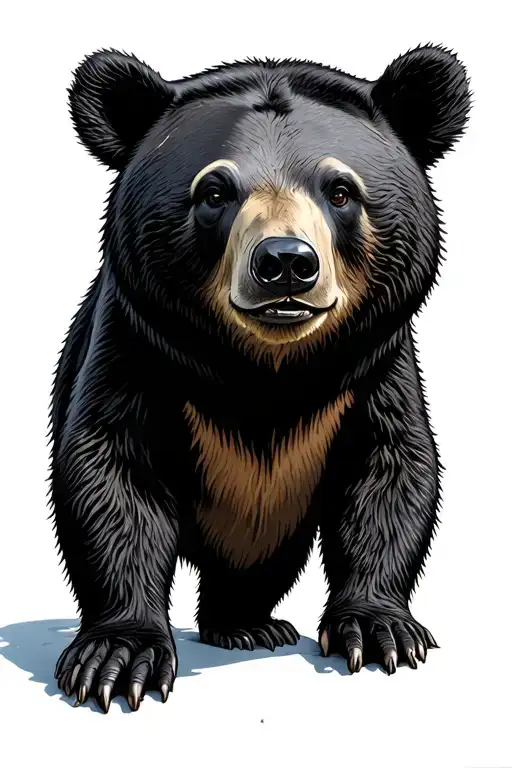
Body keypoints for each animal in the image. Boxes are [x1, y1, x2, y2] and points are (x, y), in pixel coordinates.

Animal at [50, 44, 471, 714]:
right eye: (214, 190)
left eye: (340, 190)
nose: (285, 263)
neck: (263, 370)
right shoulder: (139, 345)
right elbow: (111, 470)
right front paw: (119, 656)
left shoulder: (372, 367)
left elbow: (390, 468)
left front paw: (380, 629)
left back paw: (245, 621)